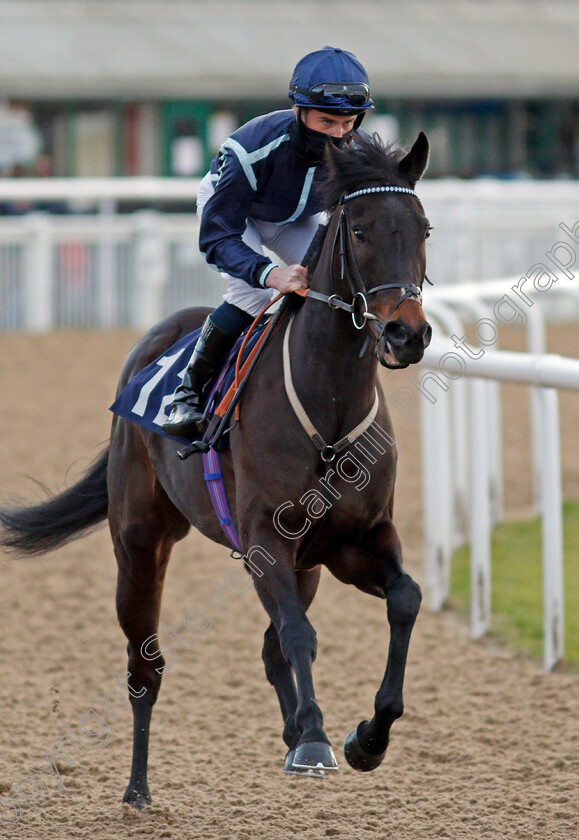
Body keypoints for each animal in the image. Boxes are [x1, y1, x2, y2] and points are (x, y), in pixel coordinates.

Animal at [0, 131, 432, 808]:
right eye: (360, 230)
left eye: (423, 228)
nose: (406, 334)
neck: (329, 406)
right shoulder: (264, 540)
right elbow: (298, 633)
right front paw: (316, 739)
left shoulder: (354, 541)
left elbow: (402, 601)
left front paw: (366, 737)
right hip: (141, 542)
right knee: (145, 664)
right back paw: (138, 789)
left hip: (304, 562)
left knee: (273, 645)